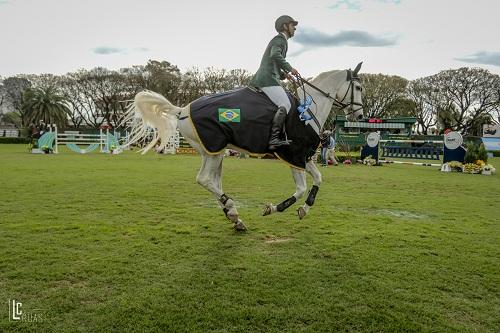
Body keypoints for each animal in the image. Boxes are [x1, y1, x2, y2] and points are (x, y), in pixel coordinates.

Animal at [122, 63, 364, 231]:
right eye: (359, 87)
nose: (360, 115)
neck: (309, 109)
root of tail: (182, 109)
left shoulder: (304, 157)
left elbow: (319, 179)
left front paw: (305, 208)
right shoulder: (294, 156)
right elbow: (301, 188)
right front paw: (274, 208)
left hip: (213, 152)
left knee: (213, 181)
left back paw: (233, 216)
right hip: (214, 151)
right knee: (204, 179)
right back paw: (231, 208)